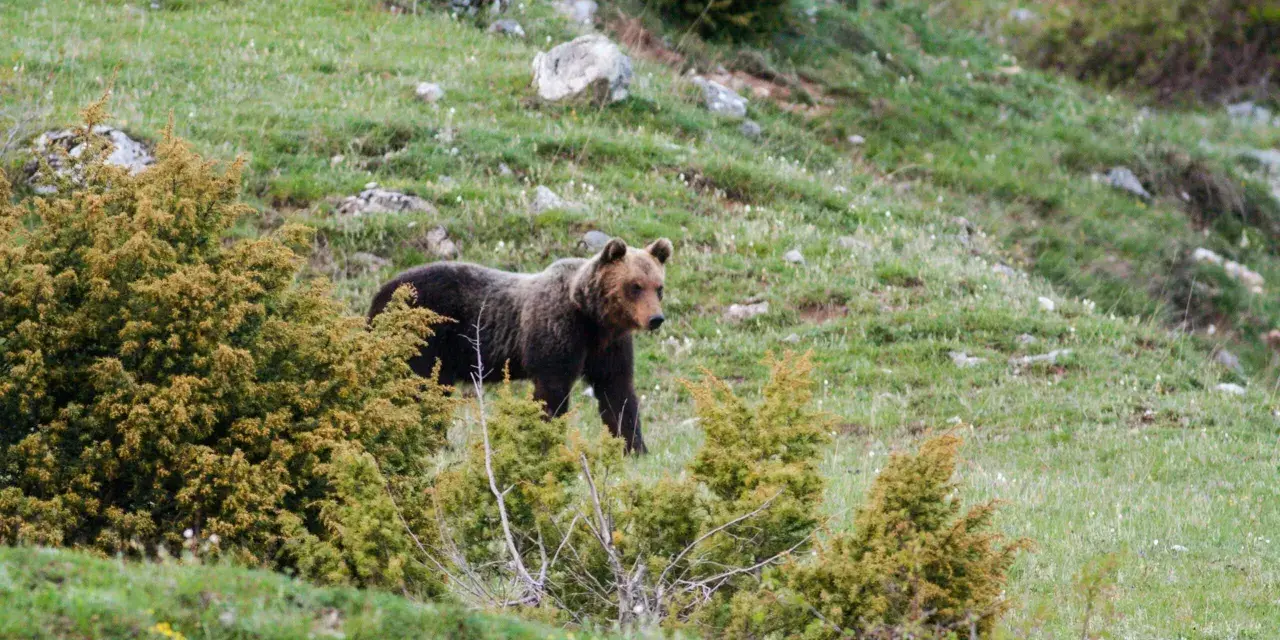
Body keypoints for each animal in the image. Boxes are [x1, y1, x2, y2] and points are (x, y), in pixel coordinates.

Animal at [367, 237, 673, 454]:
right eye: (635, 286)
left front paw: (635, 448)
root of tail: (381, 291)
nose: (655, 319)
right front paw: (544, 438)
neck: (592, 317)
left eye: (658, 287)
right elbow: (552, 390)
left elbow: (617, 392)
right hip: (423, 333)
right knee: (418, 387)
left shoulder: (609, 347)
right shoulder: (557, 331)